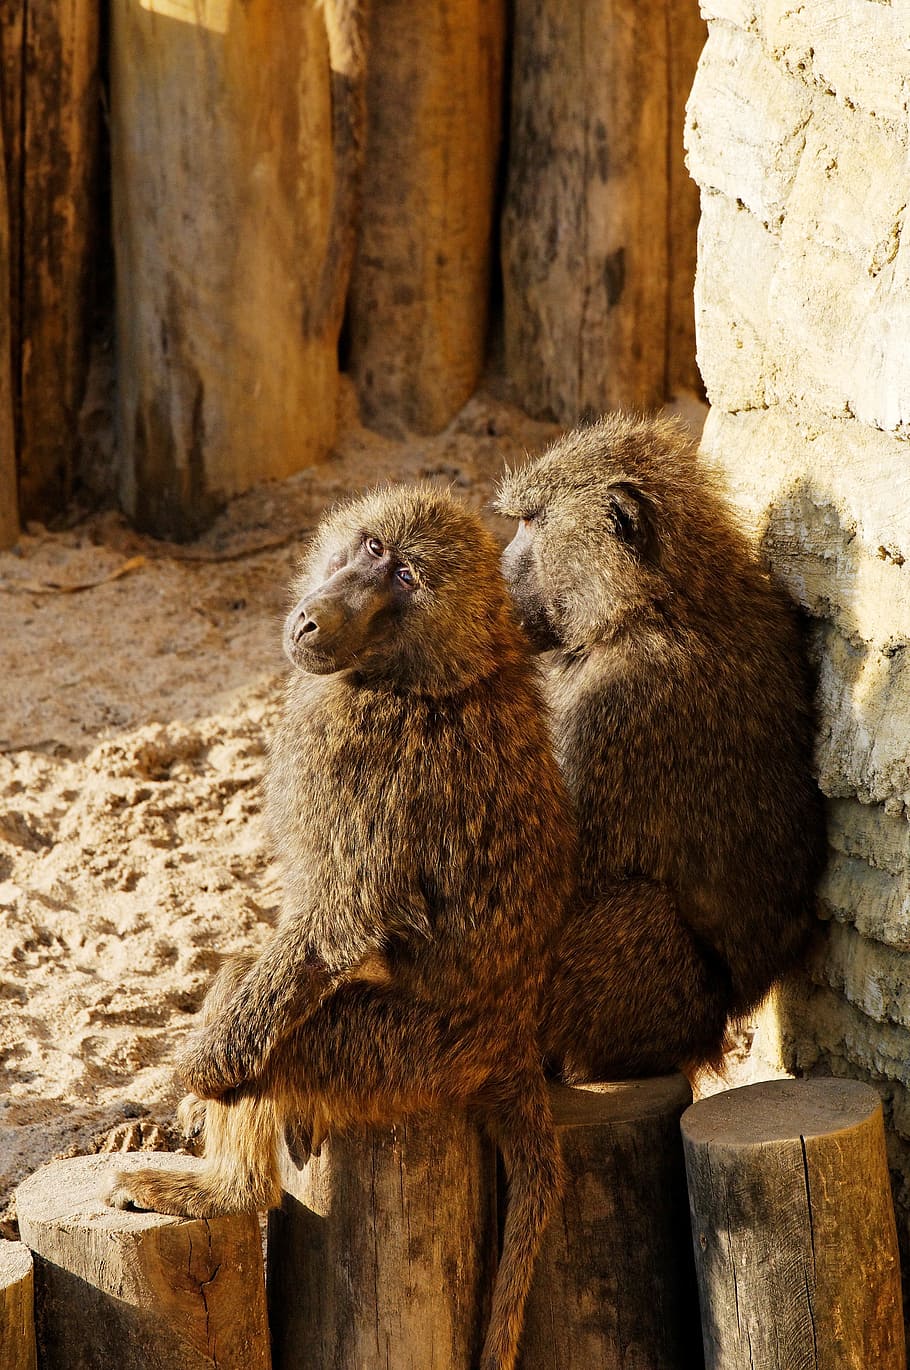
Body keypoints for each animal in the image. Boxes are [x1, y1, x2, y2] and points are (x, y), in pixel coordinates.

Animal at [105, 485, 576, 1370]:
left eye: (408, 582)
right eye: (372, 549)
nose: (315, 618)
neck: (437, 671)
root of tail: (511, 1041)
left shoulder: (354, 751)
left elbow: (335, 919)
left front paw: (197, 1076)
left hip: (398, 1057)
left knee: (261, 1013)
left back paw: (220, 1190)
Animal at [494, 412, 826, 1082]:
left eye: (532, 523)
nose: (497, 571)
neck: (654, 603)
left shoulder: (621, 704)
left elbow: (556, 882)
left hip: (664, 1012)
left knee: (636, 909)